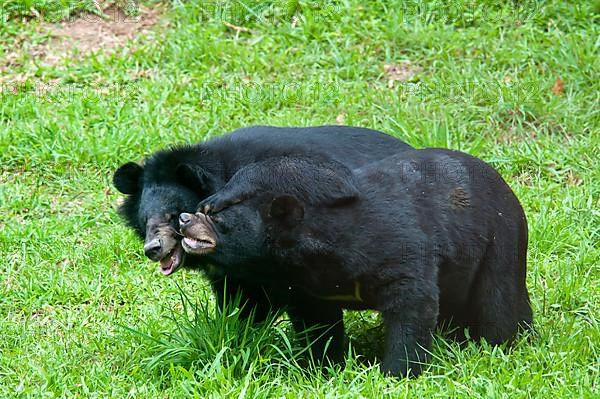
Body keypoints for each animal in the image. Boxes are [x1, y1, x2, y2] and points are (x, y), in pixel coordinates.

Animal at [179, 151, 536, 378]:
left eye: (217, 217)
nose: (183, 219)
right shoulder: (311, 287)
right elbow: (318, 323)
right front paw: (322, 368)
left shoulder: (399, 249)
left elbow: (412, 305)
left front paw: (396, 373)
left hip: (499, 242)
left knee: (498, 301)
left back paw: (500, 345)